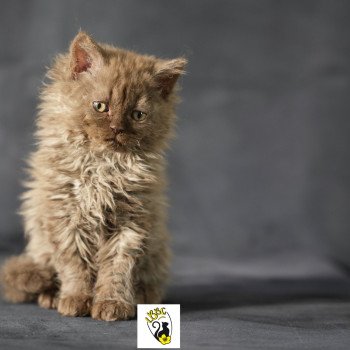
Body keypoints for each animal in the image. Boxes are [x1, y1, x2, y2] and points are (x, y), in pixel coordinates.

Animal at [0, 31, 186, 322]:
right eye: (100, 106)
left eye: (137, 115)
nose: (117, 128)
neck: (102, 166)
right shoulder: (65, 216)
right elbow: (74, 265)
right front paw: (76, 299)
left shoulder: (131, 221)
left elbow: (117, 268)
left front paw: (113, 303)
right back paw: (51, 296)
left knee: (151, 282)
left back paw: (142, 297)